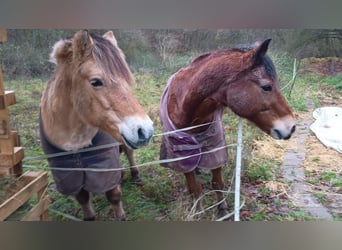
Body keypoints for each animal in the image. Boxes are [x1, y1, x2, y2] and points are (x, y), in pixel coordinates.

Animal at [40, 29, 154, 221]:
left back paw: (135, 175)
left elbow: (114, 196)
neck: (75, 143)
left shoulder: (105, 168)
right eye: (96, 82)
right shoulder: (69, 175)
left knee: (129, 153)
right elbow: (83, 199)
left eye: (127, 80)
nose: (145, 131)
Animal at [160, 39, 296, 219]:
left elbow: (218, 182)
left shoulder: (215, 149)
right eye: (267, 87)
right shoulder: (182, 156)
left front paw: (222, 209)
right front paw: (199, 212)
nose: (291, 127)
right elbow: (195, 189)